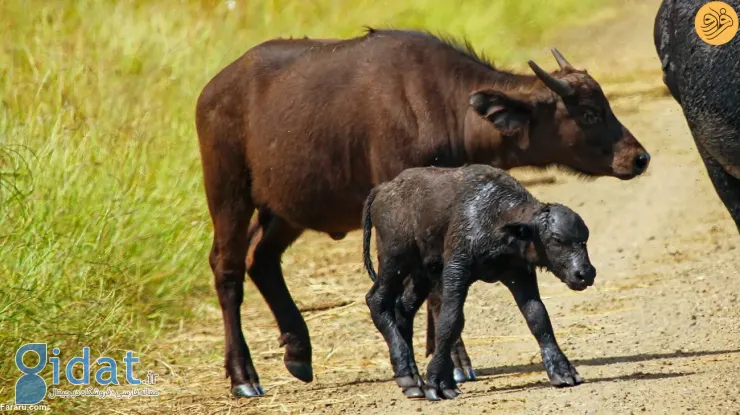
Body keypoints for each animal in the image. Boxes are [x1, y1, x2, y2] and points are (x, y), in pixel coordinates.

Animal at [362, 164, 600, 402]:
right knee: (377, 301)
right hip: (395, 260)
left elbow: (538, 317)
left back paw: (410, 375)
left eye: (584, 239)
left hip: (422, 273)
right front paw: (438, 382)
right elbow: (450, 321)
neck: (496, 218)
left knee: (403, 309)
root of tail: (383, 189)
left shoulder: (520, 274)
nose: (585, 274)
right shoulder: (456, 269)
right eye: (557, 239)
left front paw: (562, 370)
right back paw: (408, 376)